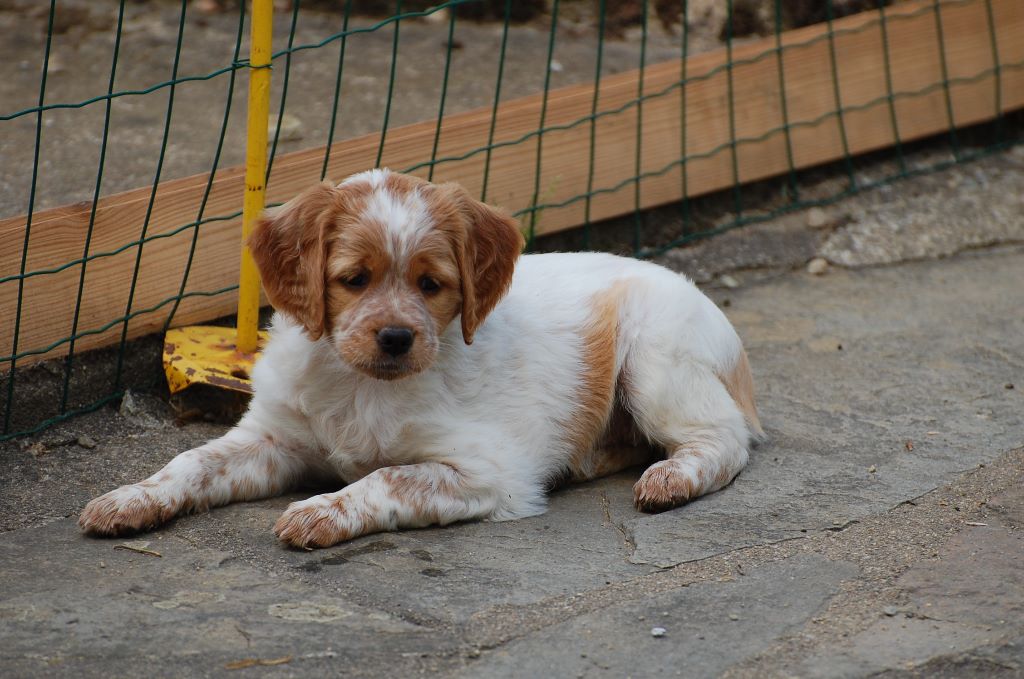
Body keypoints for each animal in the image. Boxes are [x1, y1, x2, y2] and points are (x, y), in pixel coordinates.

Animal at [79, 169, 763, 548]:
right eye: (353, 280)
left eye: (431, 285)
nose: (395, 337)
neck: (363, 385)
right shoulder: (273, 438)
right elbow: (192, 462)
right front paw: (130, 499)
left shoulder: (489, 470)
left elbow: (386, 477)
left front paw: (322, 510)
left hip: (656, 360)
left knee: (723, 439)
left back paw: (673, 477)